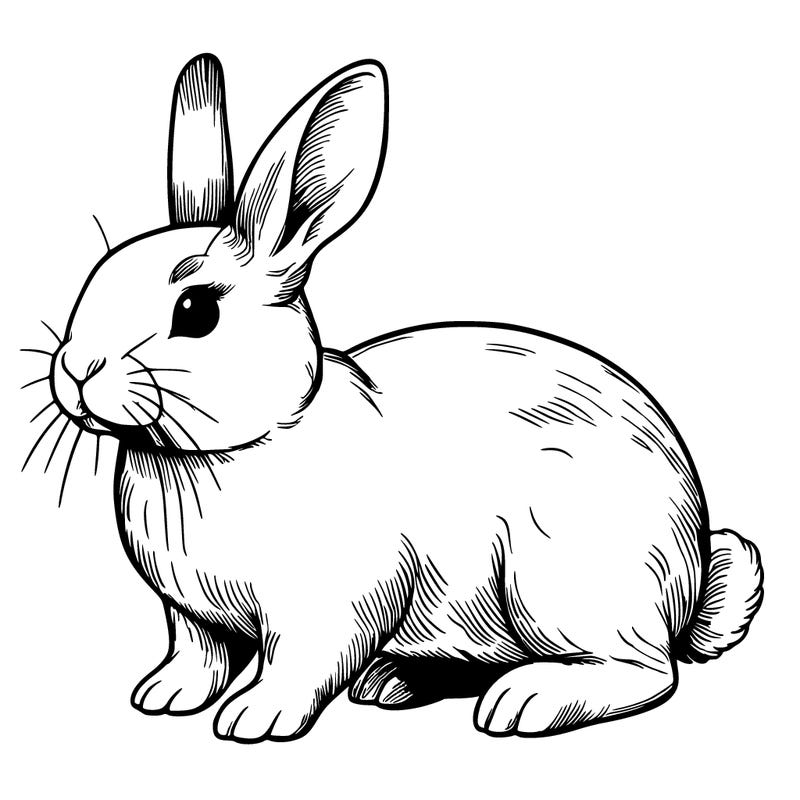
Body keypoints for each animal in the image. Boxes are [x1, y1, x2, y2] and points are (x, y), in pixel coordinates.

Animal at [40, 53, 763, 743]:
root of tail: (691, 576)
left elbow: (300, 665)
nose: (75, 369)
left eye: (195, 312)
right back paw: (393, 682)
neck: (233, 446)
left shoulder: (332, 604)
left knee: (647, 671)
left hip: (562, 580)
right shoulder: (192, 617)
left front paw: (256, 719)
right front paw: (162, 696)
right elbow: (201, 655)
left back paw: (523, 701)